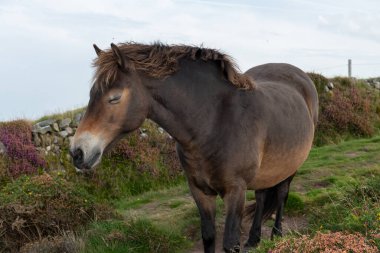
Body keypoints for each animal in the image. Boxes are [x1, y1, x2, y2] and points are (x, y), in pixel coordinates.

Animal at [69, 42, 318, 252]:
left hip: (291, 166)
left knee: (282, 194)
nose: (77, 152)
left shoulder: (235, 191)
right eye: (91, 94)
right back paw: (253, 239)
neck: (214, 121)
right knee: (262, 196)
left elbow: (230, 243)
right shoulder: (199, 190)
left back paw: (276, 234)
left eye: (114, 98)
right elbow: (208, 237)